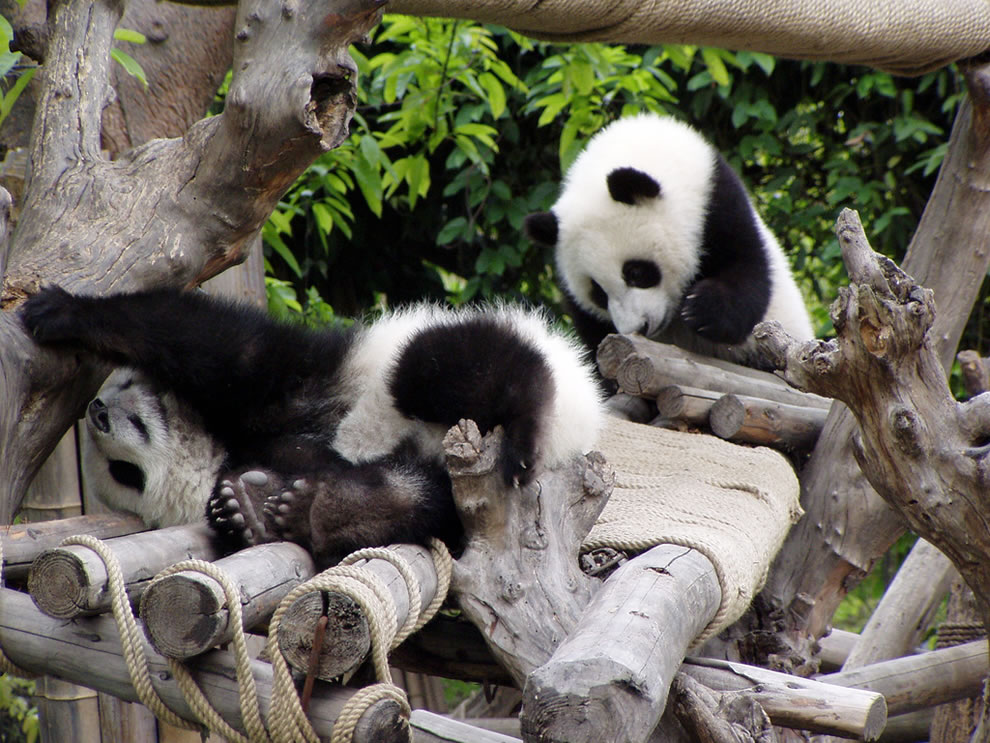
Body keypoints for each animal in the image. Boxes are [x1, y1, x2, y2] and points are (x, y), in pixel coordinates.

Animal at [23, 288, 604, 568]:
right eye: (123, 473)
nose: (98, 411)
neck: (223, 448)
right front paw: (241, 511)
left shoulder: (284, 386)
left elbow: (216, 345)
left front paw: (60, 312)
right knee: (423, 496)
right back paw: (312, 509)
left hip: (459, 362)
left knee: (441, 367)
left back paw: (525, 428)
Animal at [528, 112, 812, 370]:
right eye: (597, 292)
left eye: (635, 272)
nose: (638, 328)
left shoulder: (716, 202)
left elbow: (746, 268)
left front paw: (702, 311)